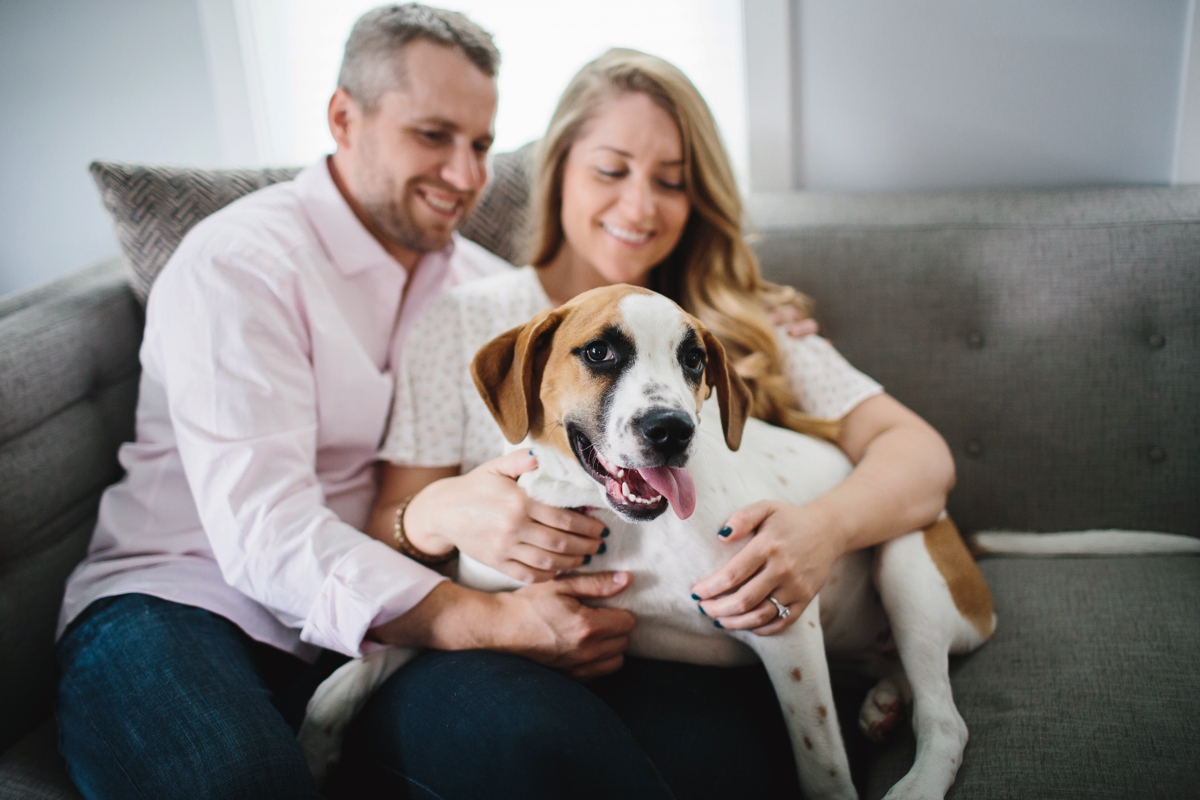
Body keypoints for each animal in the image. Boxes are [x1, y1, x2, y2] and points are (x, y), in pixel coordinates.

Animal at [304, 284, 998, 796]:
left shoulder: (785, 630)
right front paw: (325, 724)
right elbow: (397, 639)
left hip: (908, 561)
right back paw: (885, 698)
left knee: (944, 720)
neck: (616, 528)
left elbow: (821, 764)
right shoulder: (491, 600)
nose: (672, 430)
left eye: (694, 360)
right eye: (599, 353)